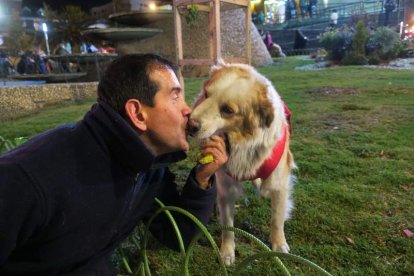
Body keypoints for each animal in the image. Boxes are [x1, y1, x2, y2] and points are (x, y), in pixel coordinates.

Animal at [189, 61, 296, 266]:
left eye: (228, 110)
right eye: (206, 94)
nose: (189, 125)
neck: (244, 143)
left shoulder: (279, 184)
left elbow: (277, 219)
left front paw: (279, 246)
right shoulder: (225, 188)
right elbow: (228, 227)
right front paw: (227, 252)